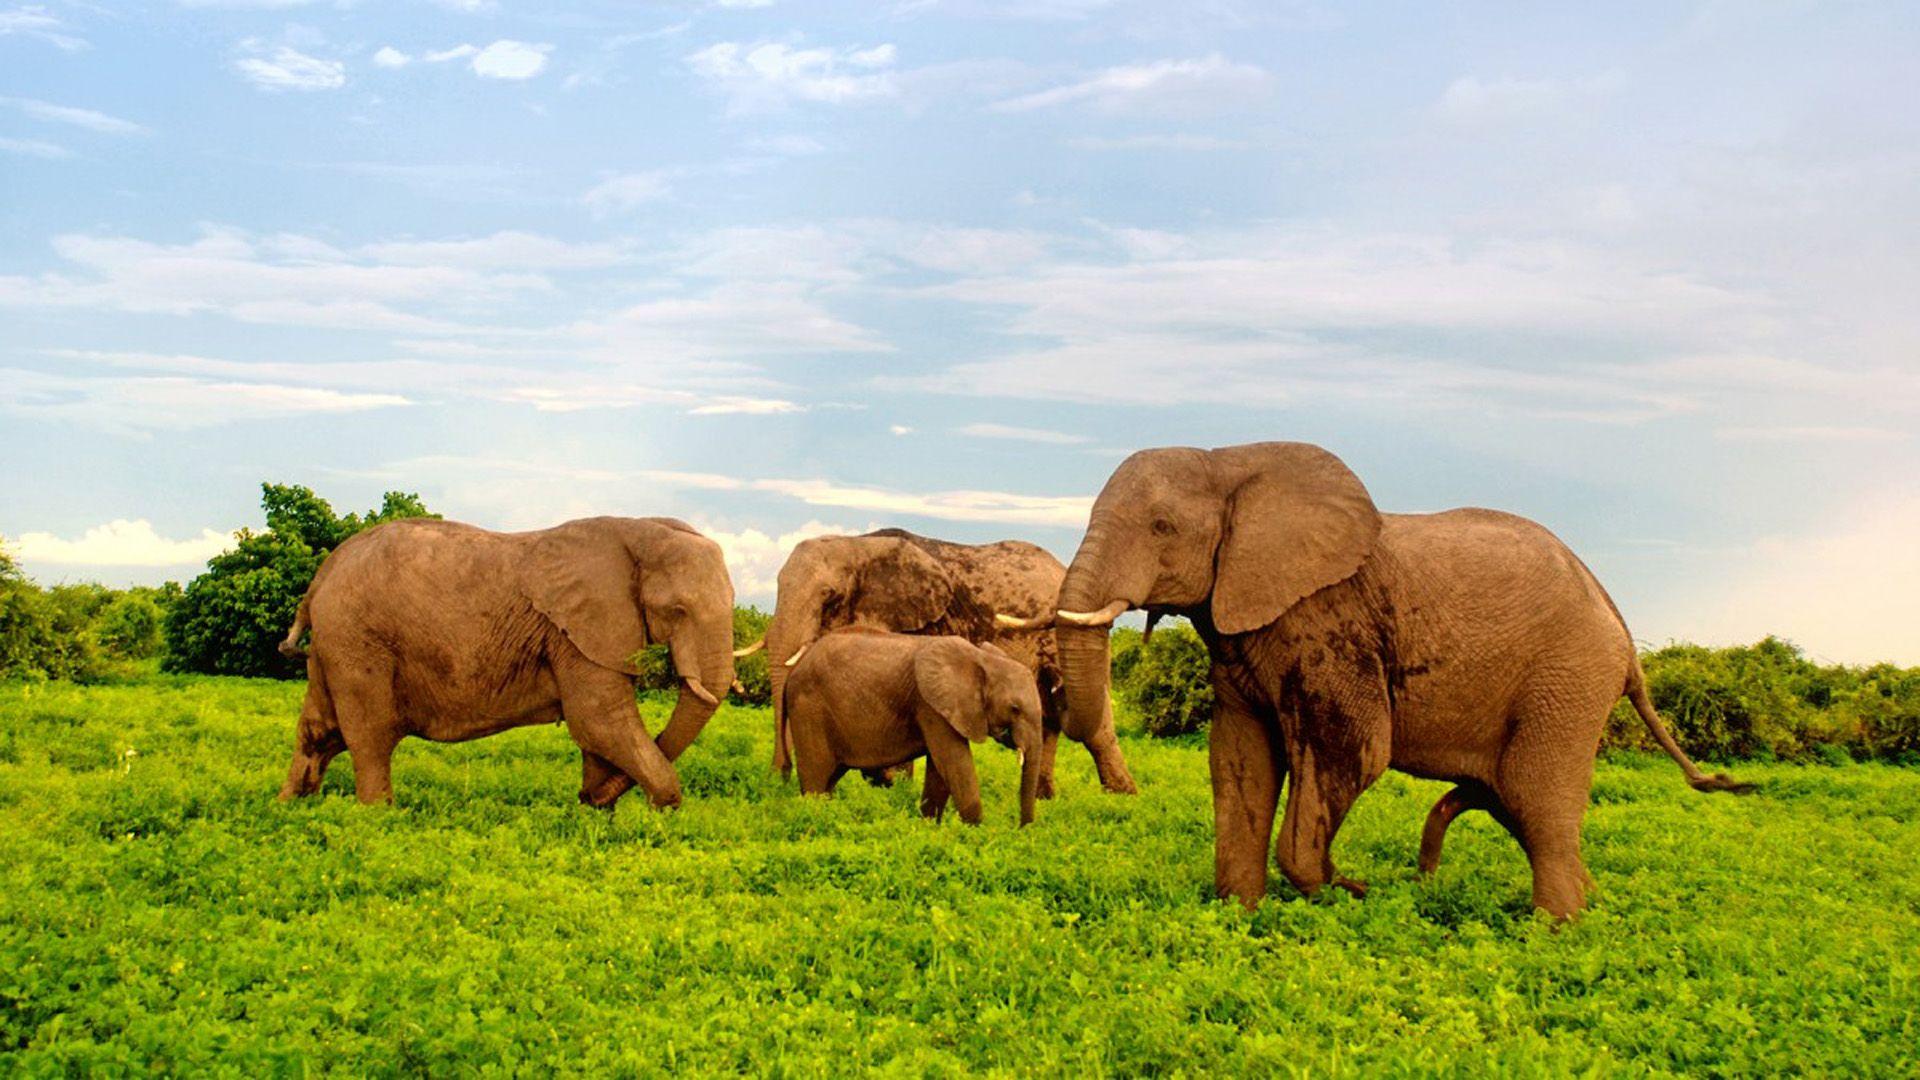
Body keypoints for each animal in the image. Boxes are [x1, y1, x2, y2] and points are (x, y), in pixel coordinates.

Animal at [274, 515, 737, 807]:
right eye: (677, 610)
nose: (585, 799)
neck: (641, 529)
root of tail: (320, 577)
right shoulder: (574, 631)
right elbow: (599, 720)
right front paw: (661, 814)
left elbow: (598, 731)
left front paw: (595, 817)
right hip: (357, 641)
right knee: (370, 735)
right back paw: (377, 817)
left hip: (333, 645)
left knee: (319, 730)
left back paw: (289, 805)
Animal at [756, 526, 1128, 795]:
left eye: (828, 596)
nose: (779, 777)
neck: (857, 543)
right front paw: (885, 783)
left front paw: (893, 785)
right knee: (1049, 719)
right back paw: (1045, 798)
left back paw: (1121, 797)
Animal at [779, 626, 1044, 818]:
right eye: (1015, 709)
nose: (1022, 828)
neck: (980, 658)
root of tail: (793, 669)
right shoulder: (930, 706)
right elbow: (955, 764)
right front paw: (976, 834)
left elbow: (940, 772)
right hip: (808, 709)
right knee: (815, 779)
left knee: (829, 780)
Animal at [1044, 441, 1751, 910]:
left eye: (1161, 527)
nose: (1372, 883)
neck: (1230, 461)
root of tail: (1622, 630)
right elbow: (1240, 761)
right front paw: (1238, 916)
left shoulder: (1329, 623)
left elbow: (1354, 750)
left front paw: (1340, 888)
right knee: (1517, 805)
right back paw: (1590, 905)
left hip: (1569, 677)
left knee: (1538, 802)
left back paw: (1555, 932)